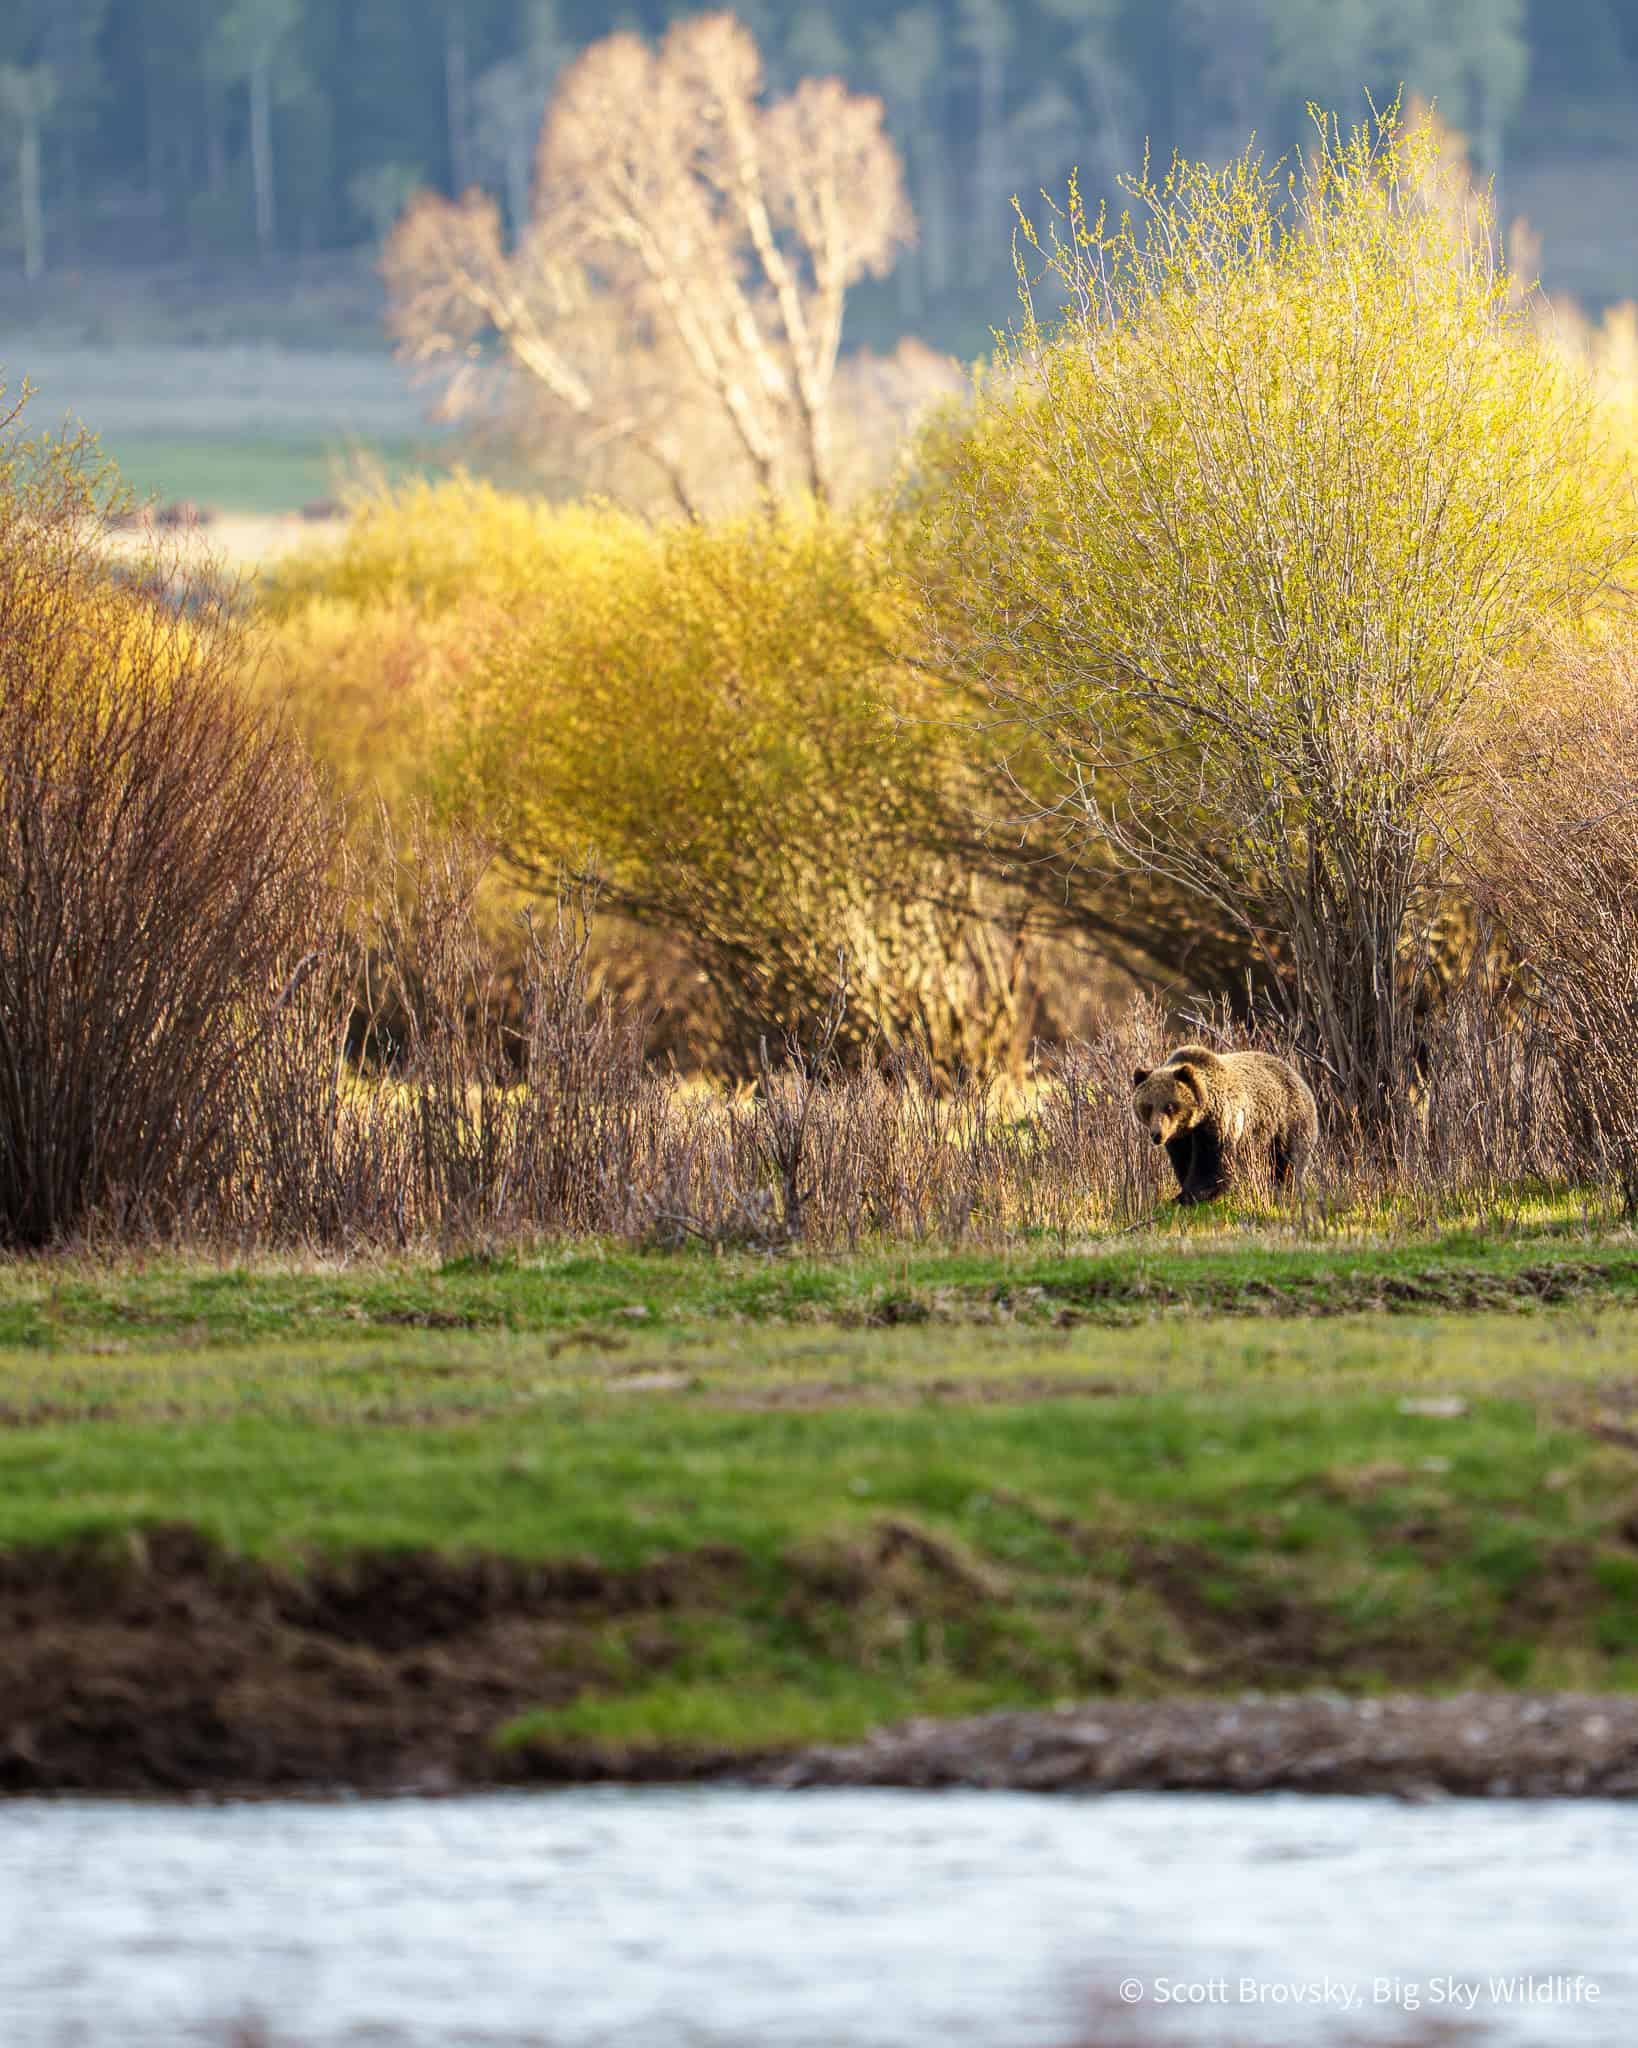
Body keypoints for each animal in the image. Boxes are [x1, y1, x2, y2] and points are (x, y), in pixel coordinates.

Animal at [1131, 1044, 1318, 1205]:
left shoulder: (1218, 1123)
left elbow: (1211, 1165)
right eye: (1147, 1107)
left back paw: (1284, 1189)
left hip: (1288, 1122)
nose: (1157, 1134)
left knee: (1288, 1161)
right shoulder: (1180, 1138)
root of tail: (1299, 1077)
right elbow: (1184, 1162)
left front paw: (1190, 1196)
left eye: (1170, 1106)